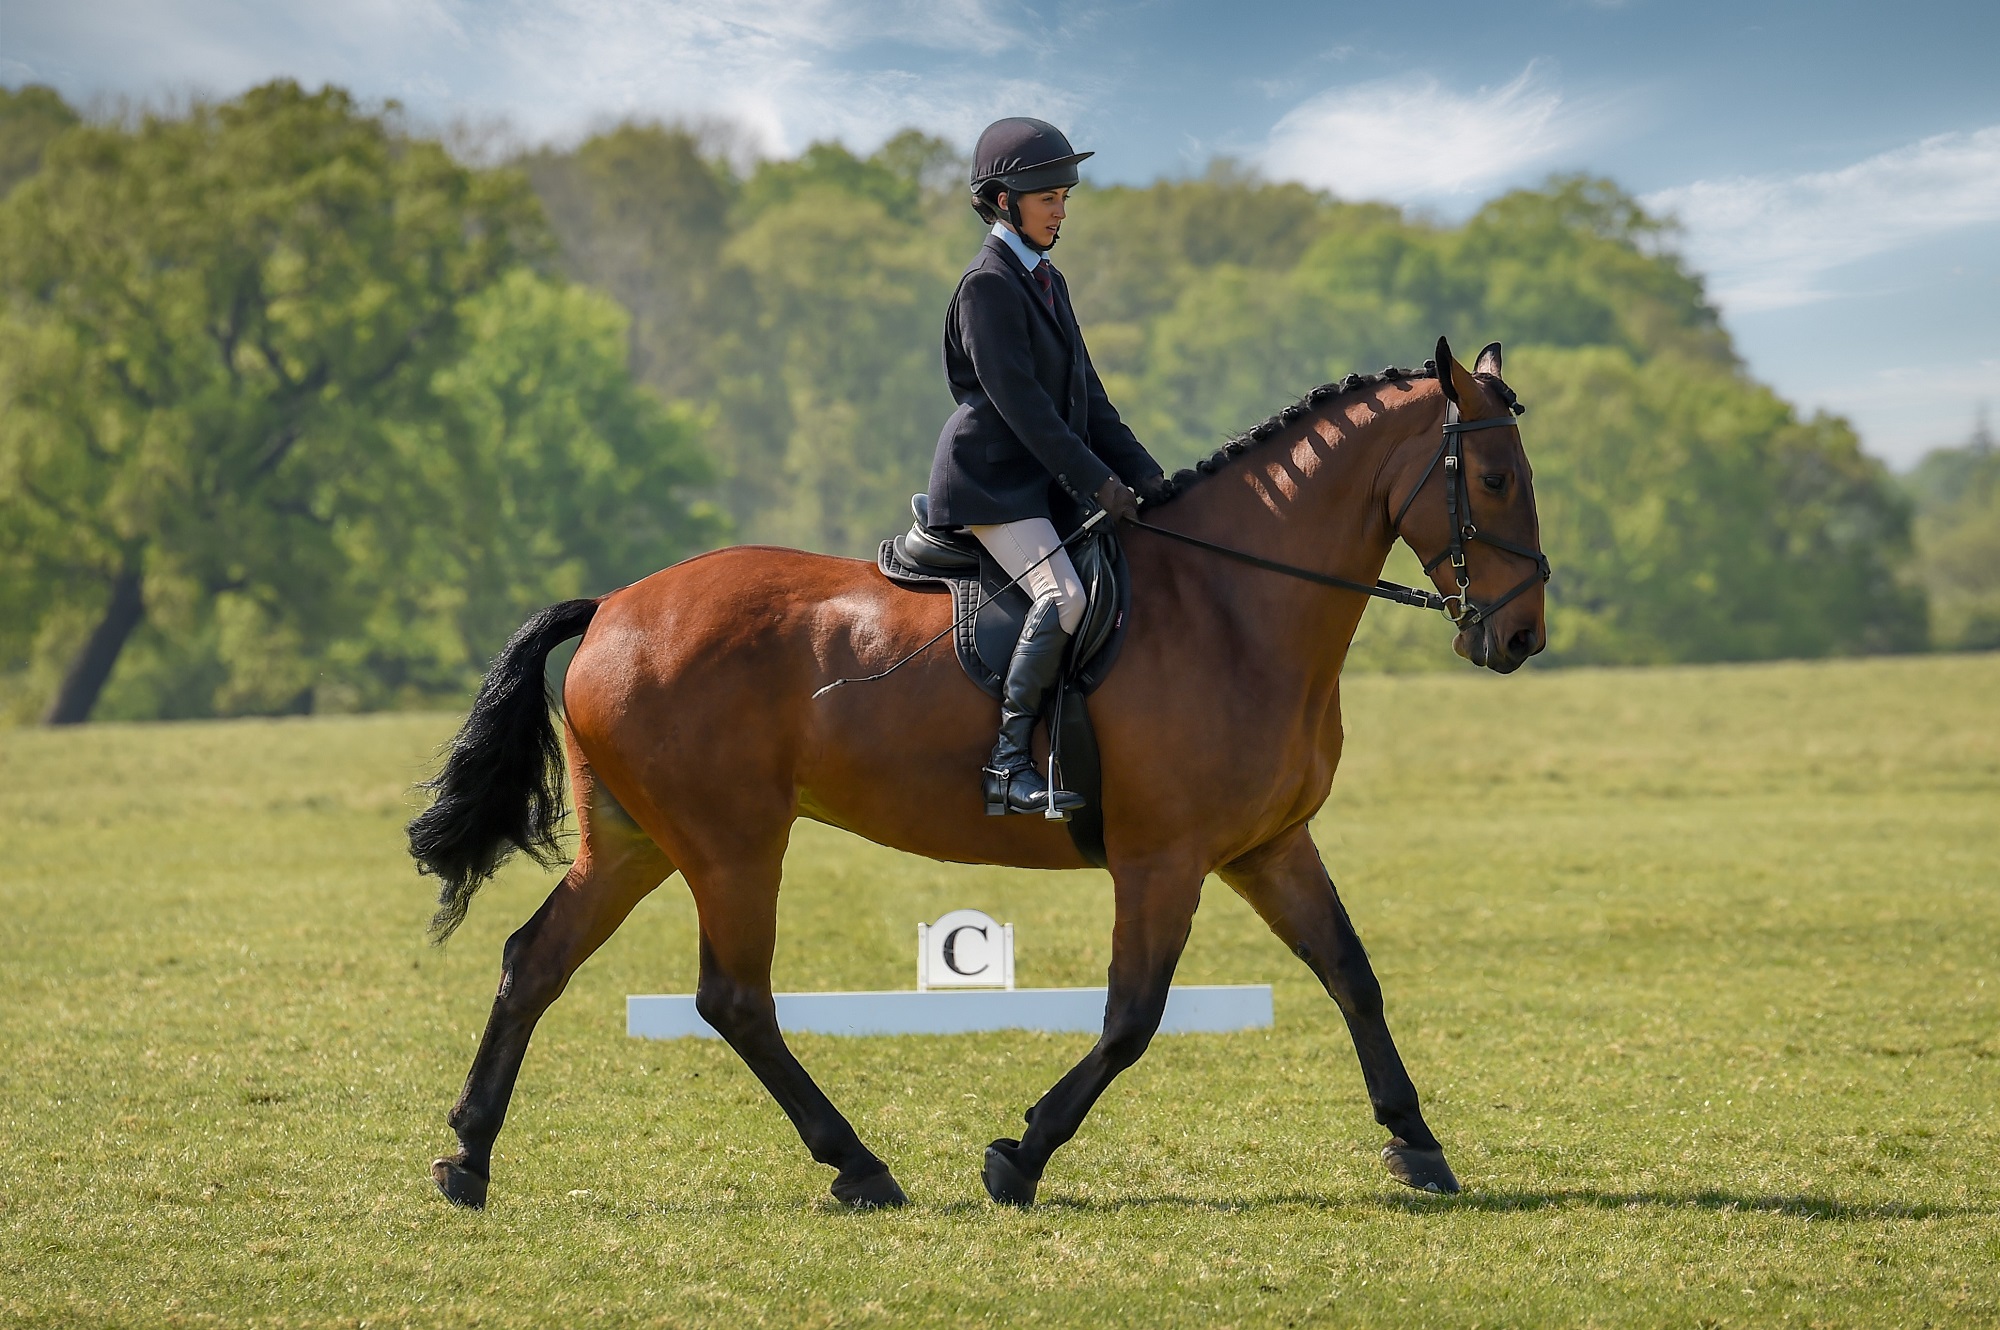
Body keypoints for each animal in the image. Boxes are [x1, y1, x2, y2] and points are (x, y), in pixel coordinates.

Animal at [410, 338, 1544, 1208]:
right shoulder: (1162, 858)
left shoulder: (1269, 845)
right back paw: (858, 1165)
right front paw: (1020, 1155)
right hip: (732, 845)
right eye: (1493, 482)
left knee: (536, 960)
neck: (1234, 605)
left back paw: (468, 1157)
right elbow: (1132, 1015)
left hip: (636, 841)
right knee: (733, 997)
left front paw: (1417, 1143)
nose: (1523, 635)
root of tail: (611, 607)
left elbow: (1351, 973)